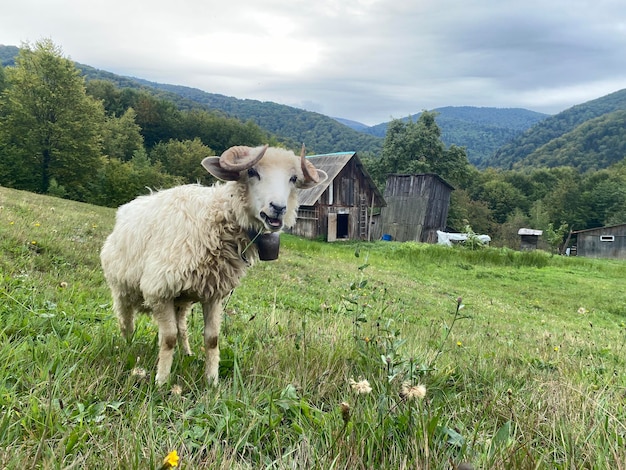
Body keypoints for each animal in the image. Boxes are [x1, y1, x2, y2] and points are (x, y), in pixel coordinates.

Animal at [98, 144, 326, 386]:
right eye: (252, 172)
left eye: (293, 178)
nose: (278, 208)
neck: (213, 218)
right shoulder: (159, 290)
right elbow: (168, 338)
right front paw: (161, 381)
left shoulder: (214, 294)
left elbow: (212, 339)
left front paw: (212, 381)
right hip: (121, 288)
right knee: (126, 321)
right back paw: (127, 347)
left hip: (181, 300)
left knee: (182, 327)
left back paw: (186, 352)